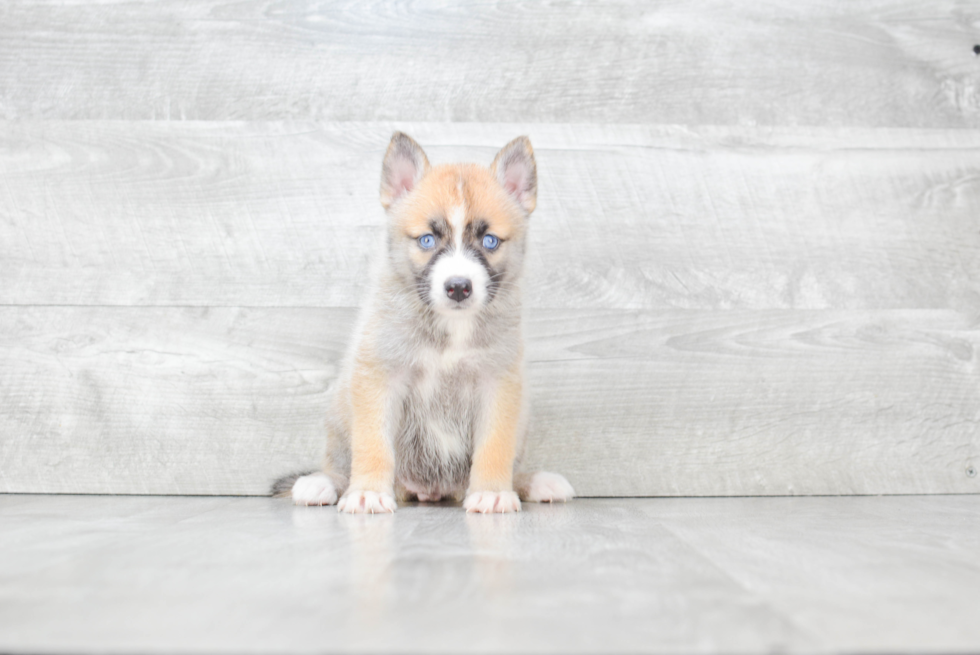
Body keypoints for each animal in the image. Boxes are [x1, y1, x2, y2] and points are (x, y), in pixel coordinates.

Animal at [274, 133, 576, 512]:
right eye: (427, 240)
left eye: (489, 241)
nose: (458, 287)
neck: (450, 329)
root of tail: (429, 490)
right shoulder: (380, 377)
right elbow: (373, 443)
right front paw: (368, 491)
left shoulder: (498, 384)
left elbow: (495, 447)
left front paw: (492, 491)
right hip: (340, 418)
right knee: (338, 466)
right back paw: (320, 483)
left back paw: (535, 482)